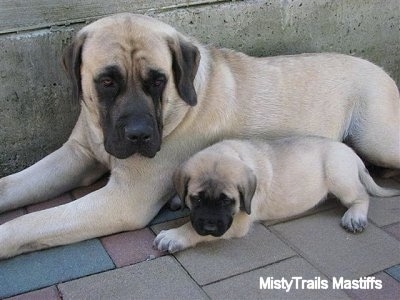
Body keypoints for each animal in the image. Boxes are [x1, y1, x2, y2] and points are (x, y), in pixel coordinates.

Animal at [154, 137, 400, 252]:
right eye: (196, 199)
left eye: (227, 201)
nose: (210, 226)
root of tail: (351, 152)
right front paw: (176, 200)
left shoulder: (238, 222)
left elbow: (190, 229)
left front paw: (174, 236)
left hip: (338, 175)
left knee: (362, 196)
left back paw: (355, 217)